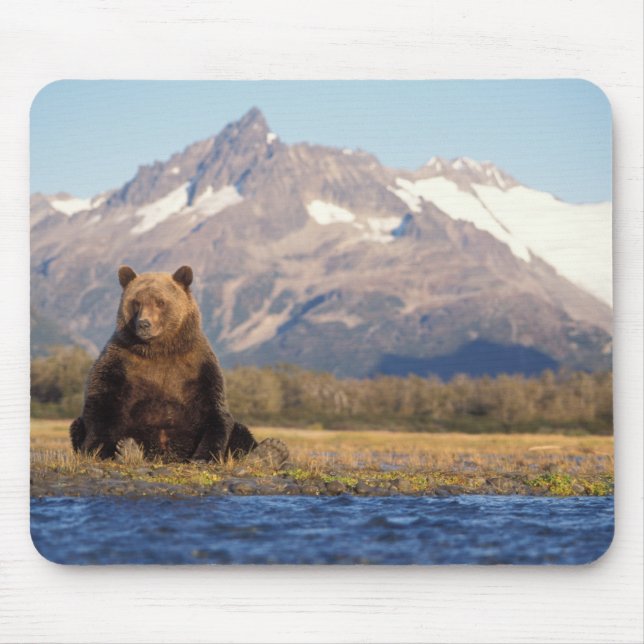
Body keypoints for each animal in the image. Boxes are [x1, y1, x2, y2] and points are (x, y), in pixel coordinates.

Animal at [70, 264, 288, 466]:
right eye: (136, 302)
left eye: (160, 302)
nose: (144, 324)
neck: (158, 350)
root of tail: (166, 457)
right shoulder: (120, 362)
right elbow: (101, 404)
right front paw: (101, 450)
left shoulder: (197, 366)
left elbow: (214, 412)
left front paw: (204, 457)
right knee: (77, 425)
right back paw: (129, 451)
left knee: (240, 431)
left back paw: (271, 451)